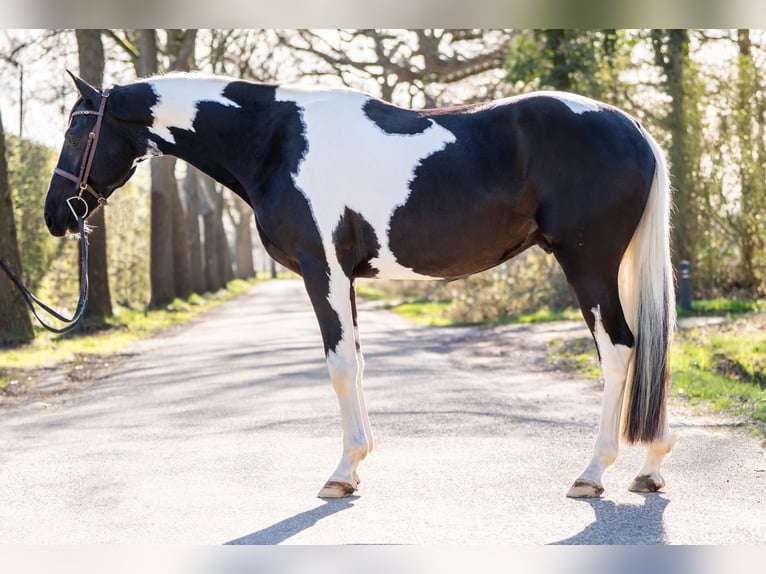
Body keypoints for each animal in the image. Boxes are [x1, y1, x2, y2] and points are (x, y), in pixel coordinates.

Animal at [44, 71, 676, 499]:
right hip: (612, 267)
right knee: (648, 347)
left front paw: (343, 472)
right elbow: (358, 361)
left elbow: (339, 364)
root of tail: (633, 127)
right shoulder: (343, 276)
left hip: (588, 263)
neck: (276, 140)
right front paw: (357, 461)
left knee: (620, 350)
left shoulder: (321, 268)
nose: (55, 216)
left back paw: (593, 472)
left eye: (77, 132)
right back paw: (649, 467)